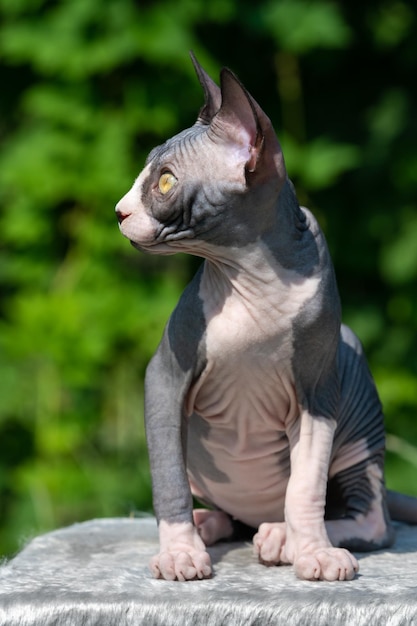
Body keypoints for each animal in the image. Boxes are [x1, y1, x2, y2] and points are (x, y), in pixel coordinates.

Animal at [114, 53, 416, 580]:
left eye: (165, 180)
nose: (119, 212)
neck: (252, 279)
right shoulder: (164, 377)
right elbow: (168, 476)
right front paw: (179, 551)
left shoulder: (319, 392)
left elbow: (306, 488)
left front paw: (313, 552)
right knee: (230, 516)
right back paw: (210, 524)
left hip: (354, 385)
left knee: (373, 520)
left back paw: (283, 536)